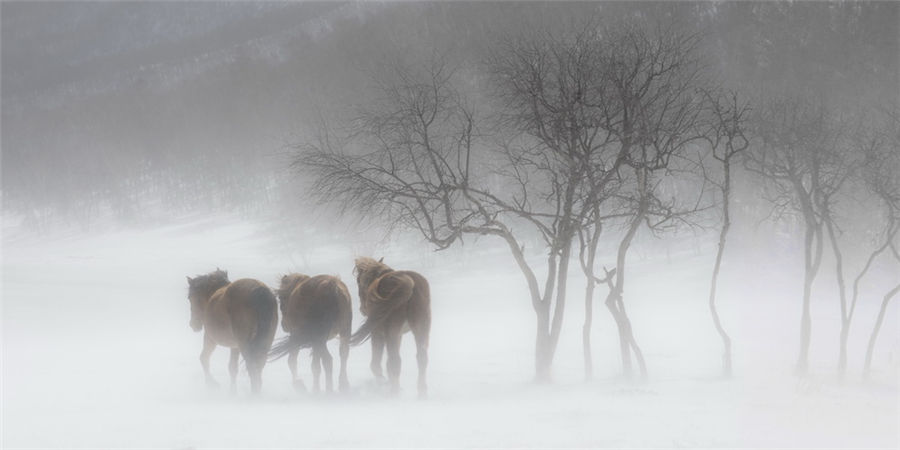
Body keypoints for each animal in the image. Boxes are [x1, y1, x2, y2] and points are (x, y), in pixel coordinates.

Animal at [352, 256, 432, 398]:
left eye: (358, 281)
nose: (362, 309)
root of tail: (409, 283)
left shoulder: (378, 333)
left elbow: (377, 361)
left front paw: (382, 380)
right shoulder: (398, 335)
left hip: (391, 332)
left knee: (395, 361)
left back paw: (394, 393)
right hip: (421, 329)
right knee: (421, 358)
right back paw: (421, 393)